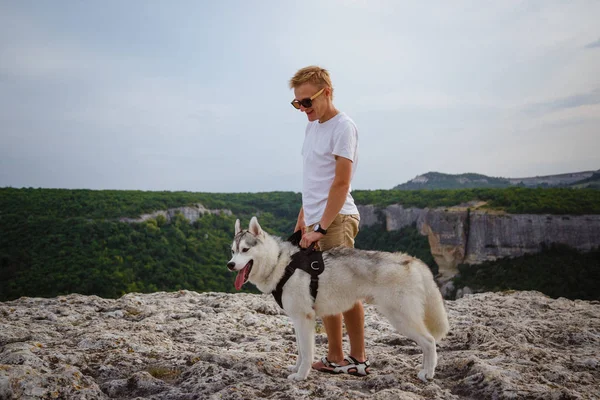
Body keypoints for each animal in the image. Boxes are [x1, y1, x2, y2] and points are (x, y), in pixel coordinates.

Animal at [227, 216, 448, 382]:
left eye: (245, 250)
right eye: (233, 251)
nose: (230, 265)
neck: (280, 263)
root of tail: (412, 261)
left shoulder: (304, 319)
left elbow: (306, 352)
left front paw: (301, 376)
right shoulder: (297, 320)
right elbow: (300, 350)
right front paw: (296, 369)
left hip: (401, 318)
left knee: (429, 341)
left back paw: (428, 373)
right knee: (426, 343)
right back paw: (424, 369)